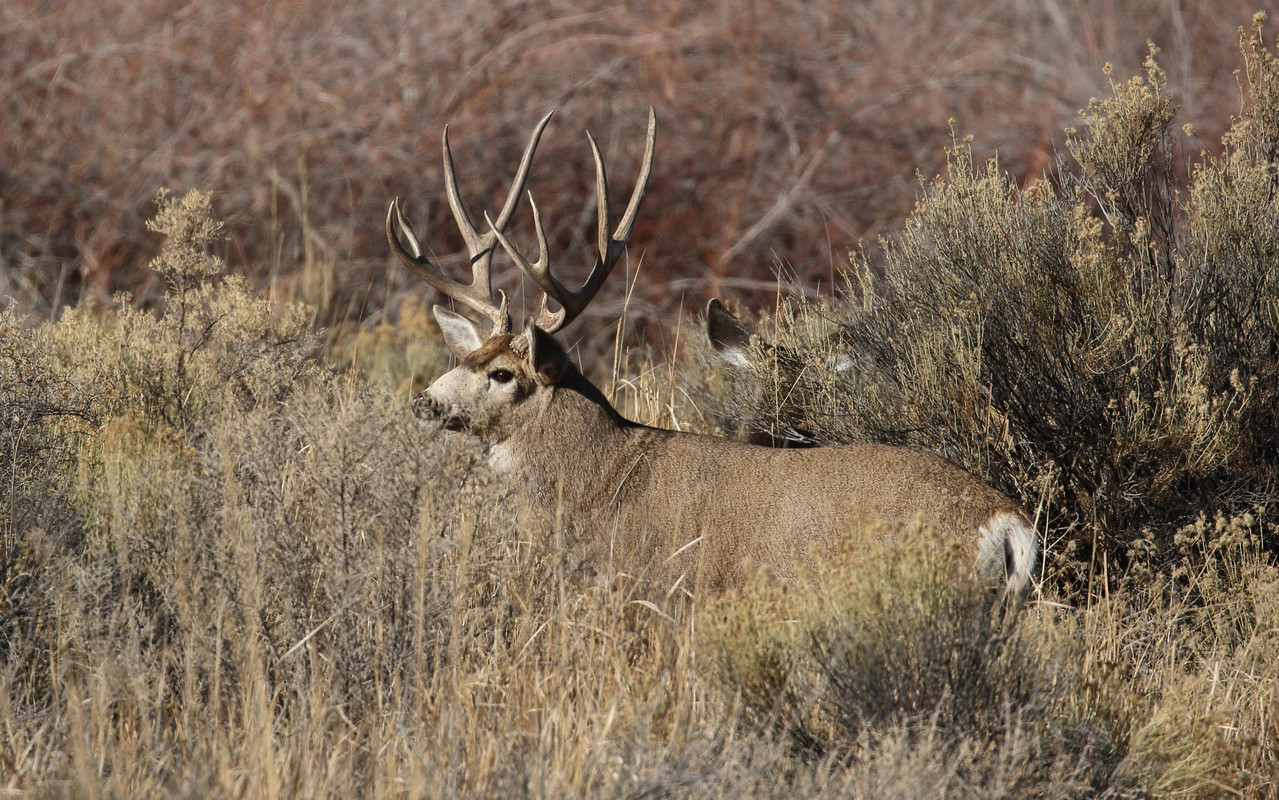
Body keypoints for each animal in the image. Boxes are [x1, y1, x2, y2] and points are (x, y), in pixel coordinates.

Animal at [387, 109, 1038, 625]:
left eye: (502, 374)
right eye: (466, 356)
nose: (424, 401)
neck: (601, 481)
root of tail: (1008, 524)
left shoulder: (661, 592)